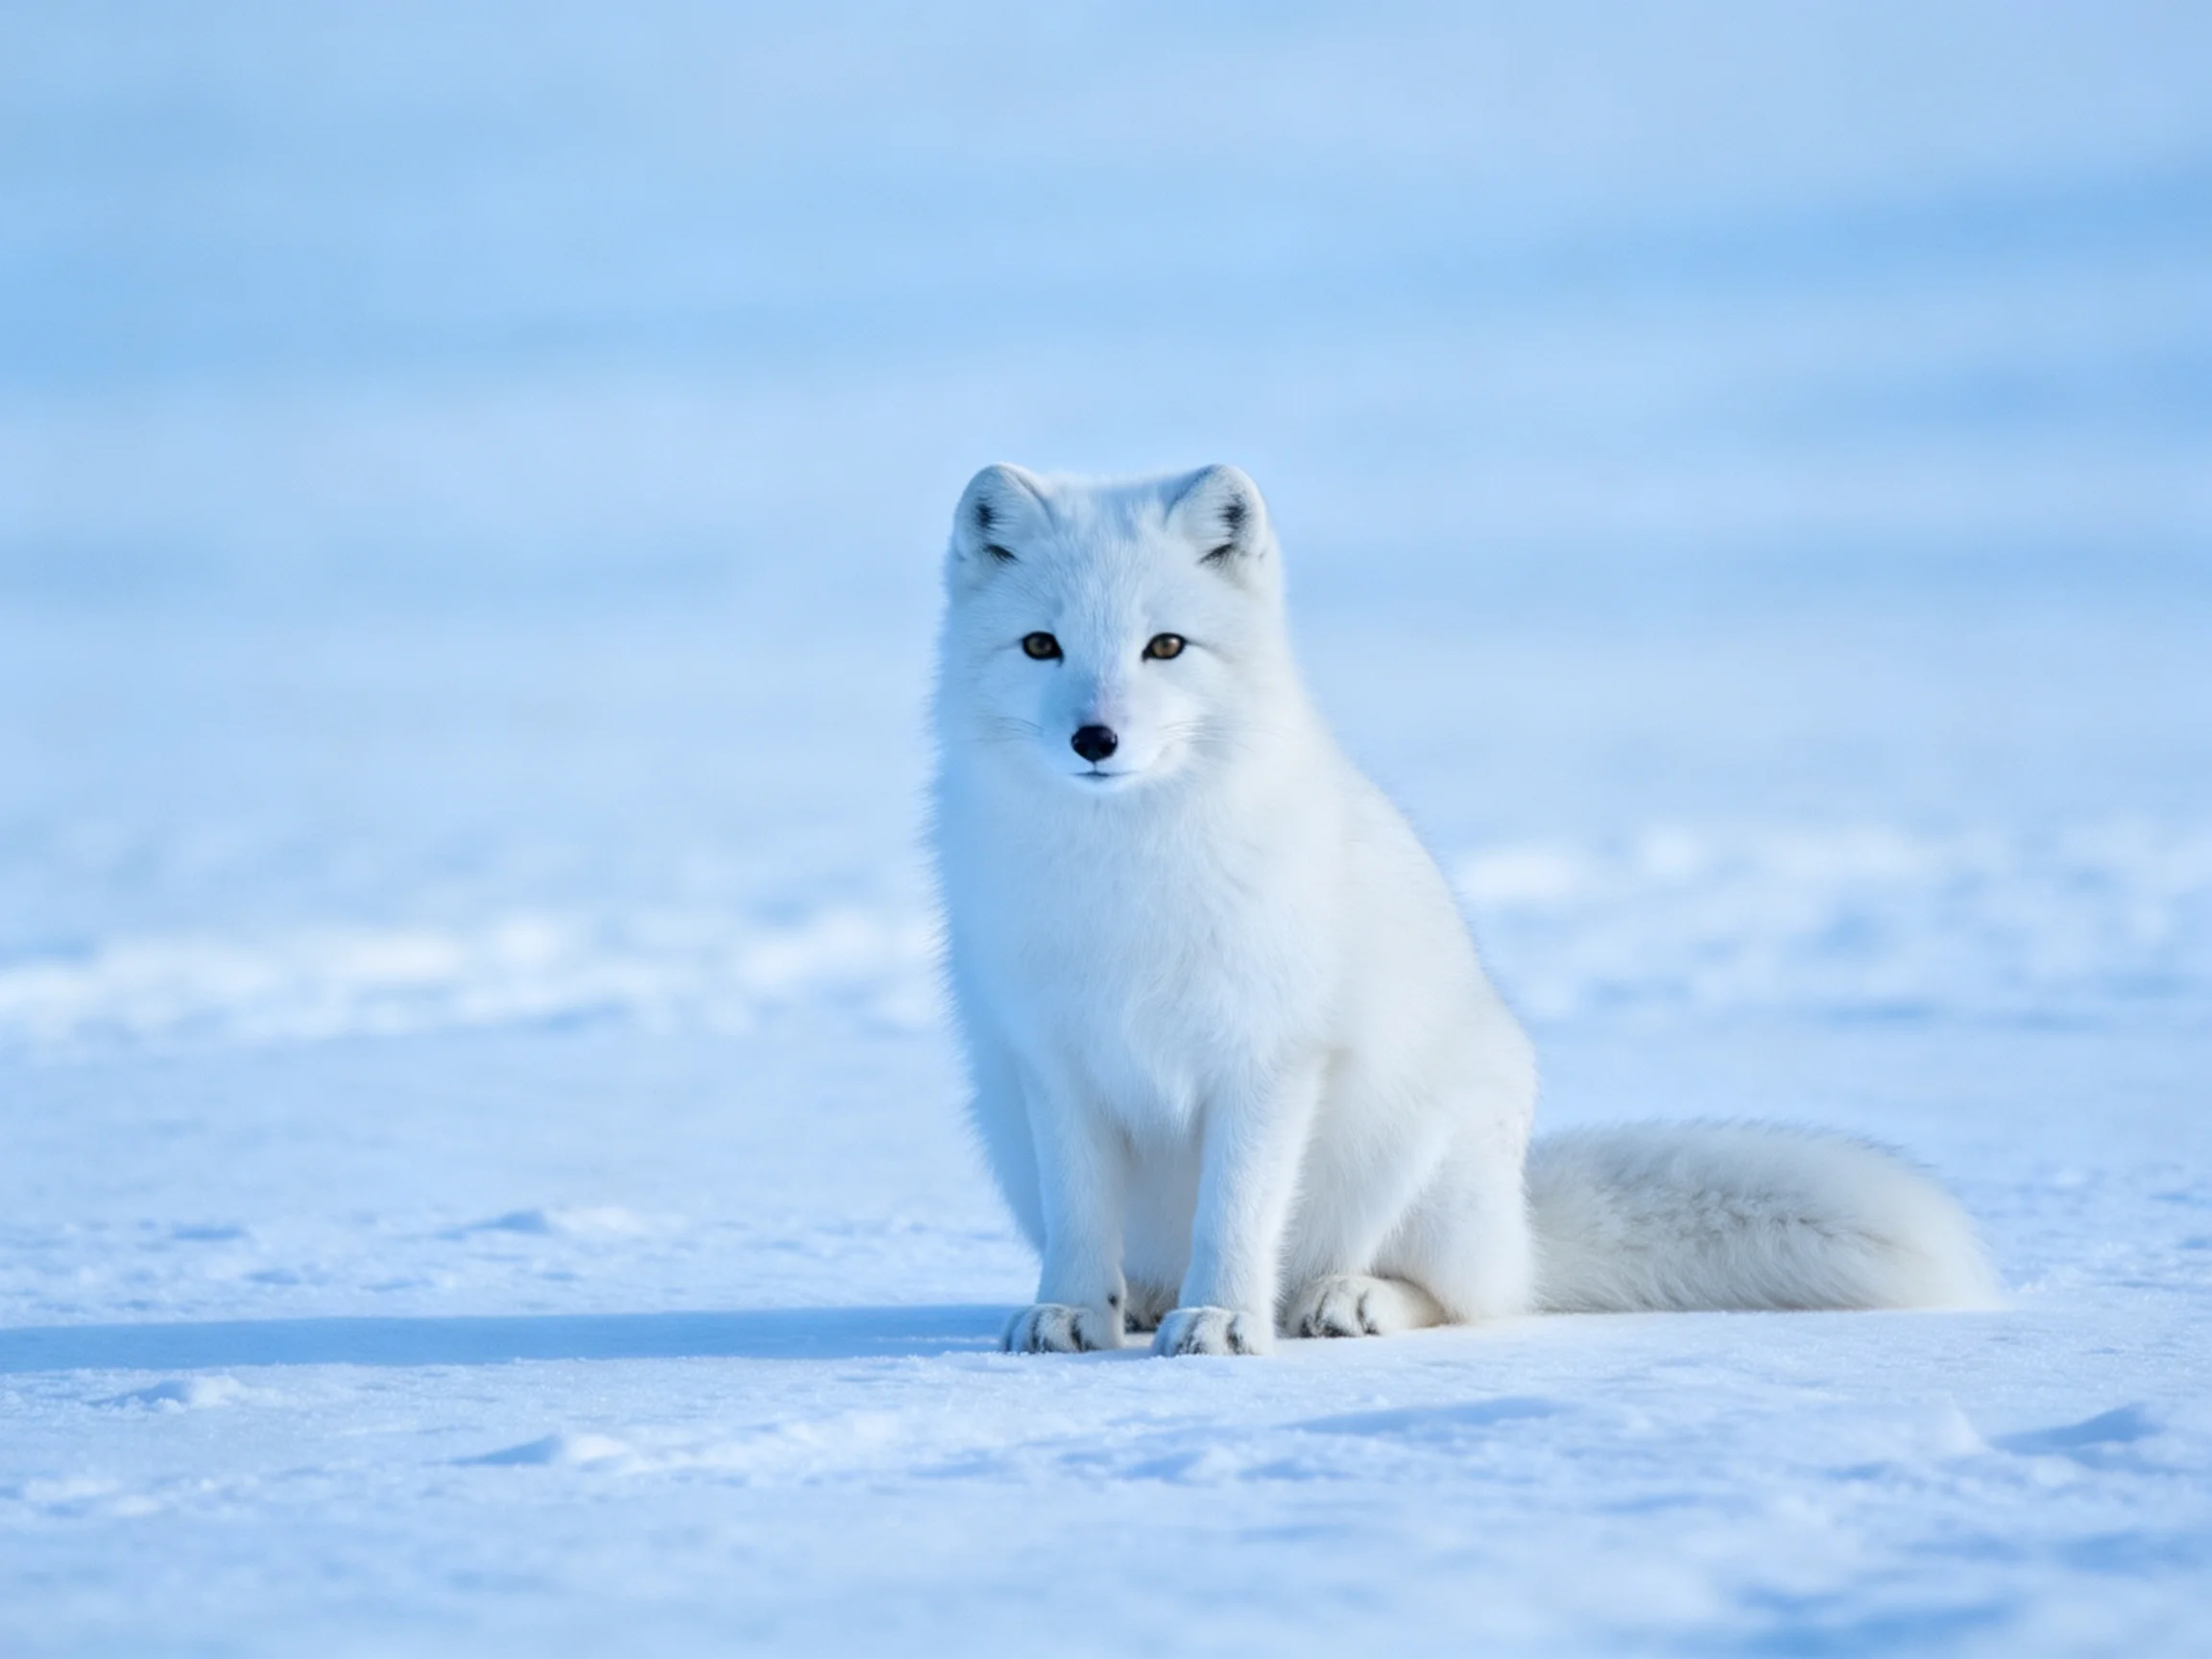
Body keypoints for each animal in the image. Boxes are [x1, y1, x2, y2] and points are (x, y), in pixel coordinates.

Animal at [930, 462, 1999, 1357]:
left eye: (1165, 646)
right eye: (1040, 646)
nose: (1096, 738)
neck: (1125, 870)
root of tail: (1524, 1227)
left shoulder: (1272, 1056)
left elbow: (1235, 1210)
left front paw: (1226, 1319)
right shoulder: (1051, 1060)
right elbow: (1081, 1218)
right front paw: (1070, 1311)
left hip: (1426, 1161)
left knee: (1466, 1300)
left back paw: (1341, 1299)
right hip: (1001, 1129)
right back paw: (1144, 1303)